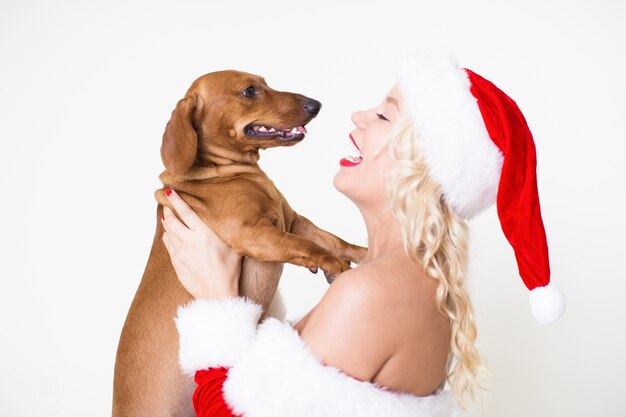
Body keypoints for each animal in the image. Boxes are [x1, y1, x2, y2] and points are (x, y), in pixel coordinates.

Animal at [112, 71, 366, 416]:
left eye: (265, 82)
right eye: (249, 91)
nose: (315, 105)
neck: (228, 172)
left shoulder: (295, 221)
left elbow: (333, 240)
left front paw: (363, 253)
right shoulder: (254, 234)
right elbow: (303, 245)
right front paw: (330, 263)